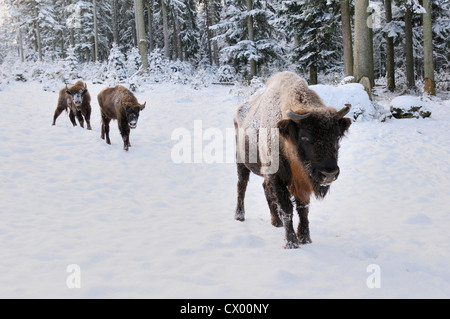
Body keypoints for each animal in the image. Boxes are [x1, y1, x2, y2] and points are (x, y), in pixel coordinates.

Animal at [234, 72, 354, 250]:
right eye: (305, 136)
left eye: (336, 136)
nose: (329, 174)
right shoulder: (277, 178)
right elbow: (287, 209)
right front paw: (291, 243)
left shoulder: (302, 182)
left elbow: (303, 208)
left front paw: (305, 238)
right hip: (241, 162)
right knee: (242, 186)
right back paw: (239, 216)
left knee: (264, 188)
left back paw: (275, 222)